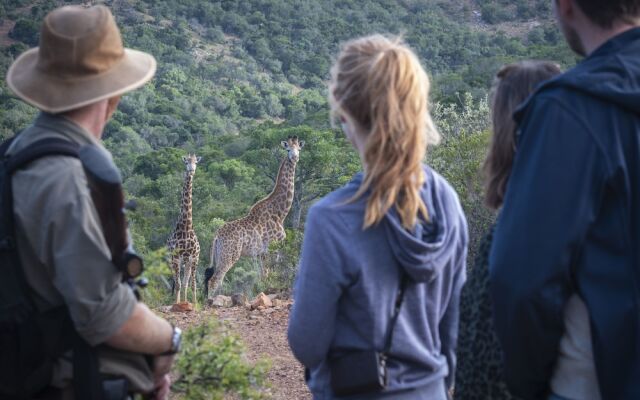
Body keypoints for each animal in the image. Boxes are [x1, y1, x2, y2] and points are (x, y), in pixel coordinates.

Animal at [205, 136, 304, 298]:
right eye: (288, 149)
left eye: (299, 148)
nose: (295, 157)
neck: (280, 213)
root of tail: (216, 236)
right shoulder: (273, 248)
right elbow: (269, 275)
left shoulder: (260, 254)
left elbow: (262, 276)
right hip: (229, 255)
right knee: (214, 280)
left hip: (219, 256)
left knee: (215, 280)